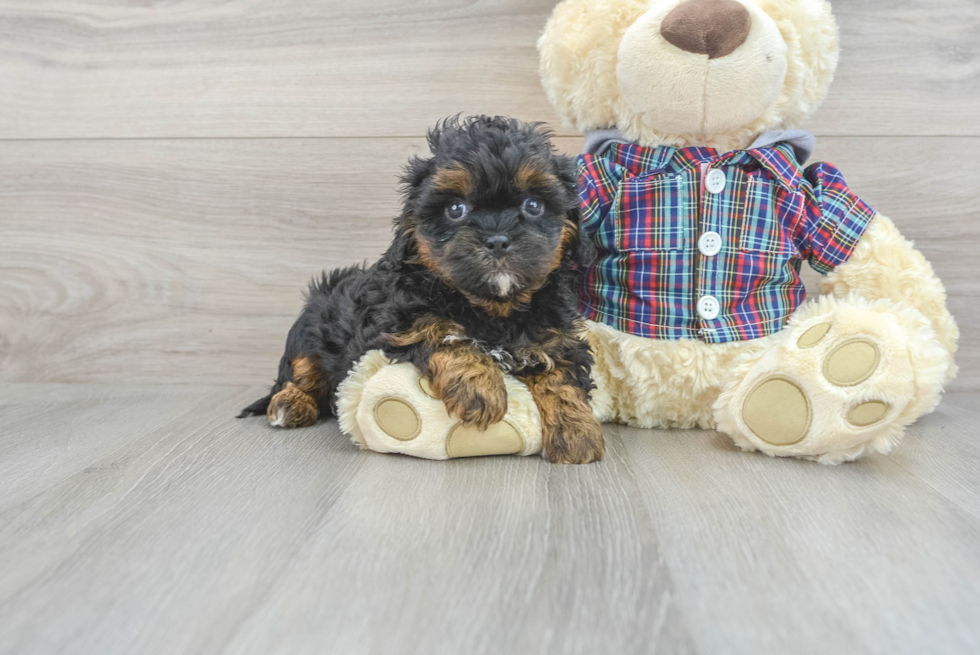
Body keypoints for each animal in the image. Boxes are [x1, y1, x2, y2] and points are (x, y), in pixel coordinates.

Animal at [239, 115, 604, 464]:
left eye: (534, 205)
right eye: (455, 209)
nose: (498, 240)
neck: (493, 308)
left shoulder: (556, 337)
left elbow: (562, 377)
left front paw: (577, 432)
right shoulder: (398, 320)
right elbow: (440, 330)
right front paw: (480, 388)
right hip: (310, 327)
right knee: (300, 373)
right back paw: (289, 404)